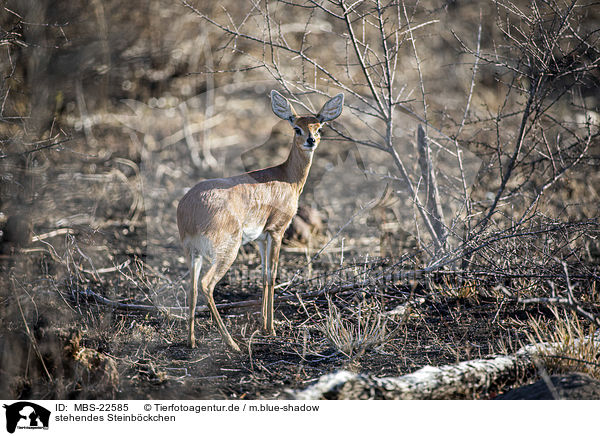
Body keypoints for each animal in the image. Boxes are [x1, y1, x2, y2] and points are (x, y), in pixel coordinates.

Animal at [177, 89, 342, 350]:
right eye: (297, 128)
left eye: (319, 127)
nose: (311, 140)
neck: (287, 178)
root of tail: (189, 208)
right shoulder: (277, 231)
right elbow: (273, 276)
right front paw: (271, 328)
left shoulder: (261, 238)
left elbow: (263, 276)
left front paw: (265, 325)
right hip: (227, 251)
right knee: (206, 285)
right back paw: (232, 344)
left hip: (193, 253)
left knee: (192, 288)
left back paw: (192, 341)